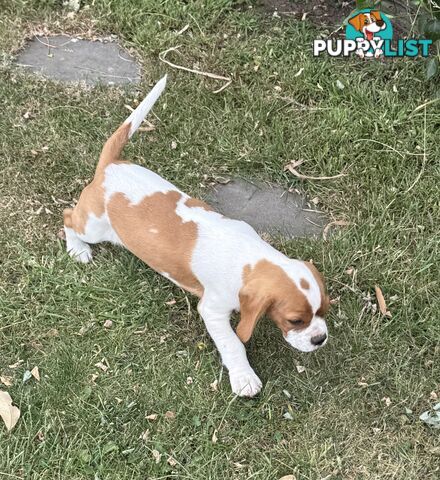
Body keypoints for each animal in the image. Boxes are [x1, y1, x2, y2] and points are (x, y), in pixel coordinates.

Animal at [63, 76, 328, 398]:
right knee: (67, 217)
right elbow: (233, 343)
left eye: (324, 310)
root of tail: (110, 166)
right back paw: (77, 249)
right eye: (295, 321)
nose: (320, 339)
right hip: (93, 226)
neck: (251, 257)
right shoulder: (212, 310)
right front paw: (244, 378)